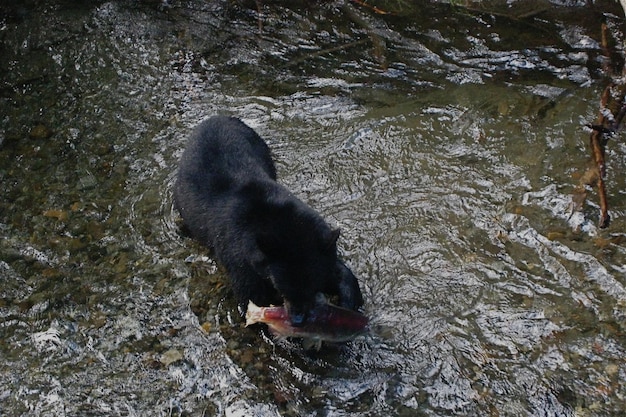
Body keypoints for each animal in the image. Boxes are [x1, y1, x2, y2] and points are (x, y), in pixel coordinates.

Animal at [173, 115, 364, 324]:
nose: (297, 319)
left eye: (312, 285)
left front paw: (348, 301)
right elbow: (250, 295)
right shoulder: (238, 255)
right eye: (282, 287)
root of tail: (217, 116)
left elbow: (336, 270)